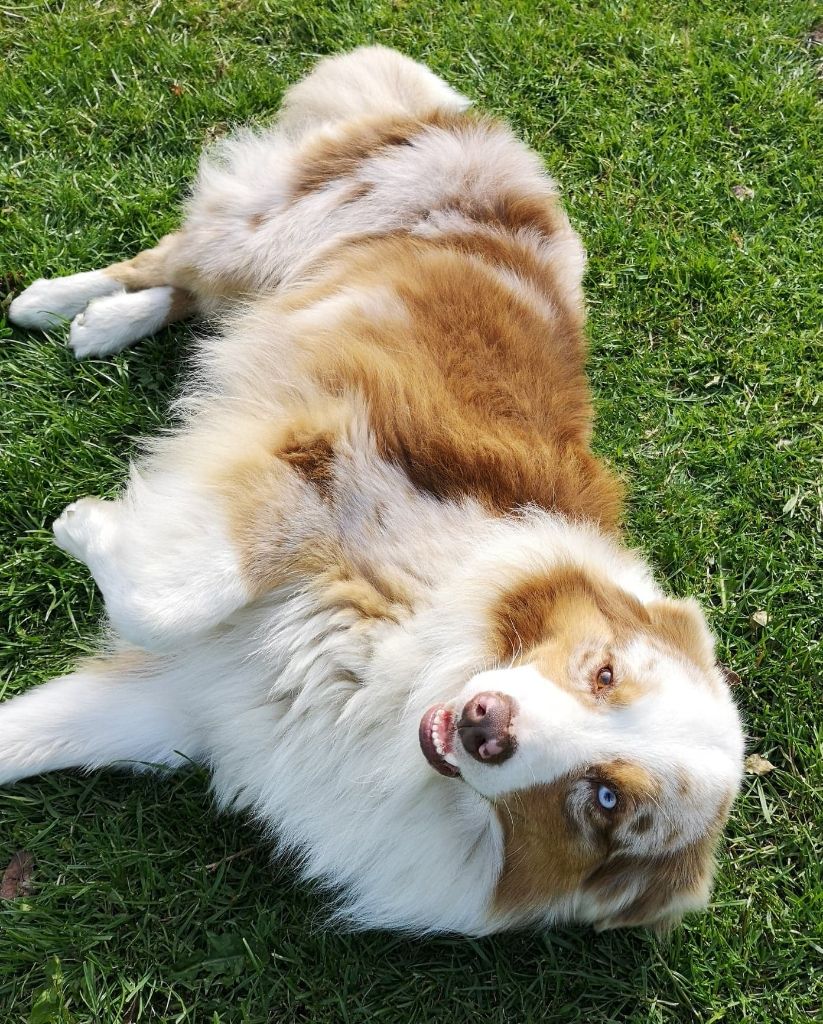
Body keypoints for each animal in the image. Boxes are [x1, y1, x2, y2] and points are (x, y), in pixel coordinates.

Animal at [3, 47, 744, 935]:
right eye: (602, 674)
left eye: (603, 802)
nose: (485, 727)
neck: (407, 668)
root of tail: (475, 121)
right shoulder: (327, 462)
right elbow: (172, 595)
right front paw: (88, 525)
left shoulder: (205, 706)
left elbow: (33, 731)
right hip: (266, 232)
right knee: (170, 255)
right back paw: (59, 304)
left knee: (189, 287)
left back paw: (105, 322)